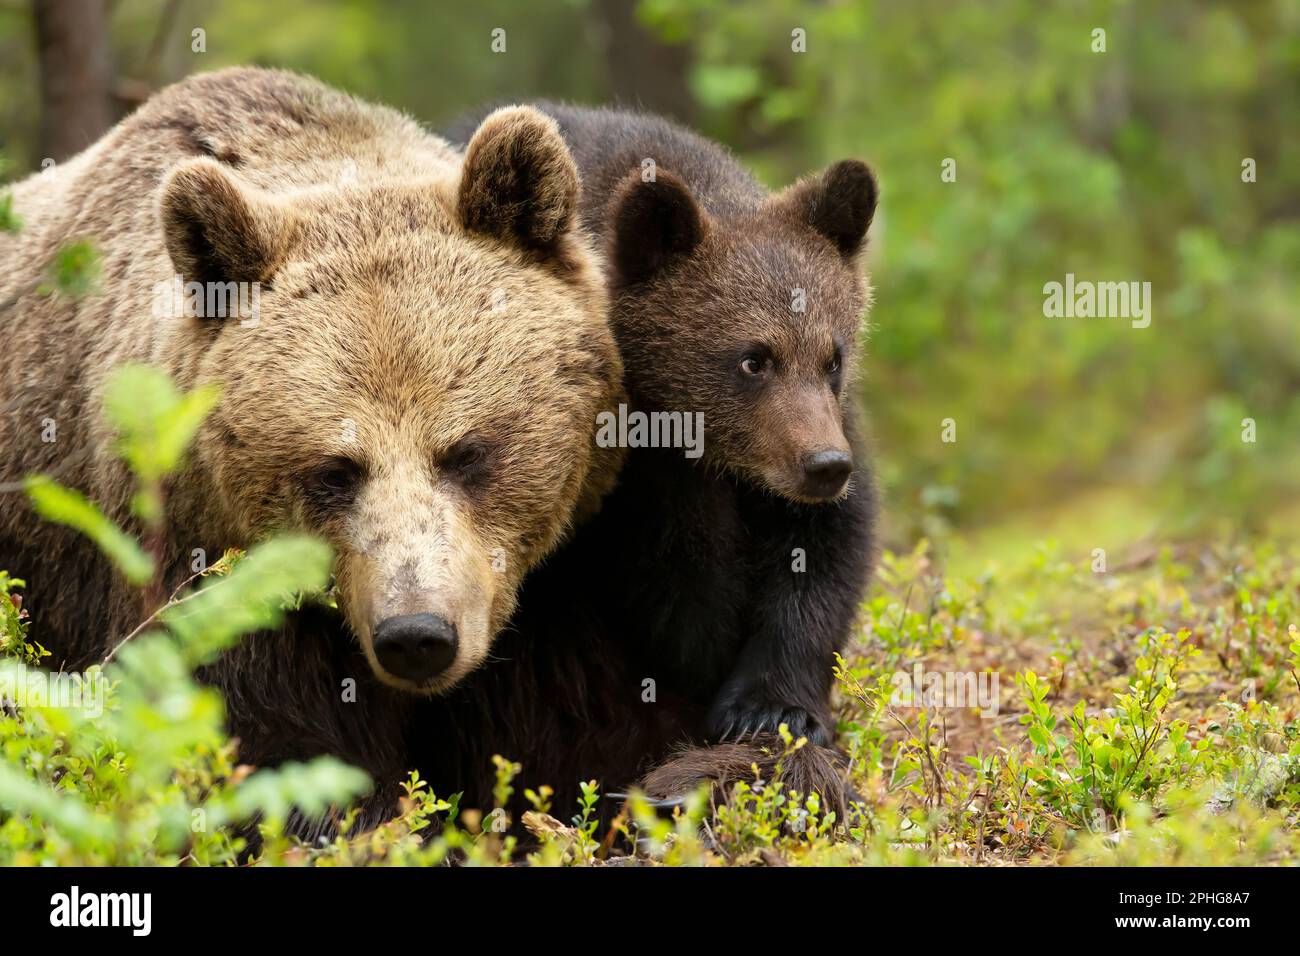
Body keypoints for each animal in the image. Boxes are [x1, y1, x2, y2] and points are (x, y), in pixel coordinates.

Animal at [0, 68, 623, 834]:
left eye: (466, 451)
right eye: (336, 470)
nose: (416, 635)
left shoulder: (551, 595)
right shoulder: (206, 568)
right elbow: (280, 753)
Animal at [422, 103, 879, 826]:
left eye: (831, 357)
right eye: (753, 358)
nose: (824, 466)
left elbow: (826, 558)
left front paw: (772, 709)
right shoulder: (620, 487)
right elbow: (679, 607)